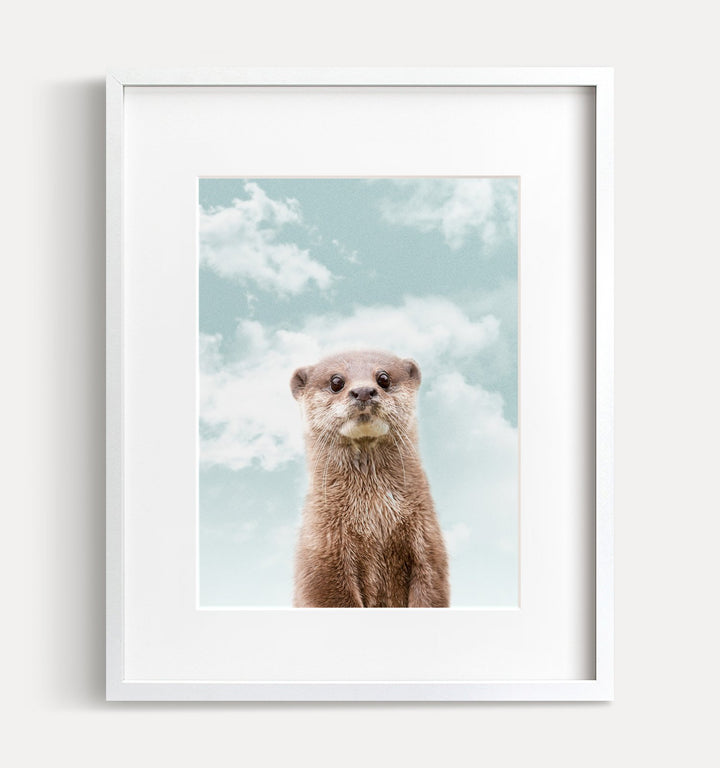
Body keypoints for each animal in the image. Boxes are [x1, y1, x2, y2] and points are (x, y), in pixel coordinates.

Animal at [290, 349, 449, 607]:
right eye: (336, 382)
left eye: (383, 378)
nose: (363, 390)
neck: (374, 521)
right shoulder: (321, 554)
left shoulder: (429, 543)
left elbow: (431, 590)